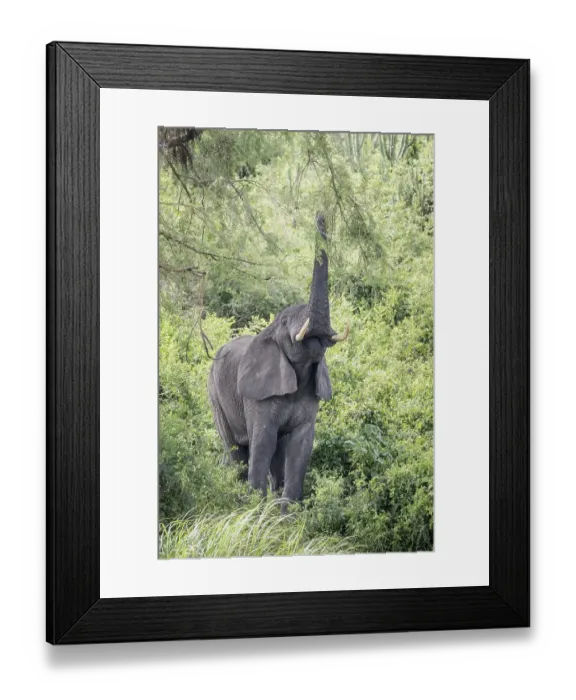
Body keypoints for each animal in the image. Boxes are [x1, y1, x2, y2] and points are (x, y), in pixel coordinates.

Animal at [208, 212, 349, 511]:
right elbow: (263, 441)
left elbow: (300, 447)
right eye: (285, 322)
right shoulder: (257, 395)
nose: (320, 215)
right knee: (236, 450)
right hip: (214, 393)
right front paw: (255, 512)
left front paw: (287, 516)